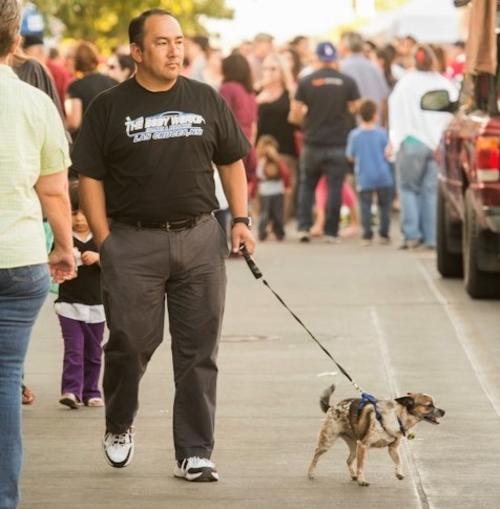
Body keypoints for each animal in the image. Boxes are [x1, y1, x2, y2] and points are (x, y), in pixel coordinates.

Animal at [308, 384, 446, 484]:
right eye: (429, 405)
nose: (444, 411)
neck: (398, 417)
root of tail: (332, 407)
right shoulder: (363, 446)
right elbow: (361, 465)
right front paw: (362, 480)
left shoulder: (392, 448)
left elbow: (399, 461)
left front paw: (399, 473)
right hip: (328, 441)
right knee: (316, 454)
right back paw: (311, 472)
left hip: (354, 445)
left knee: (348, 460)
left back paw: (353, 475)